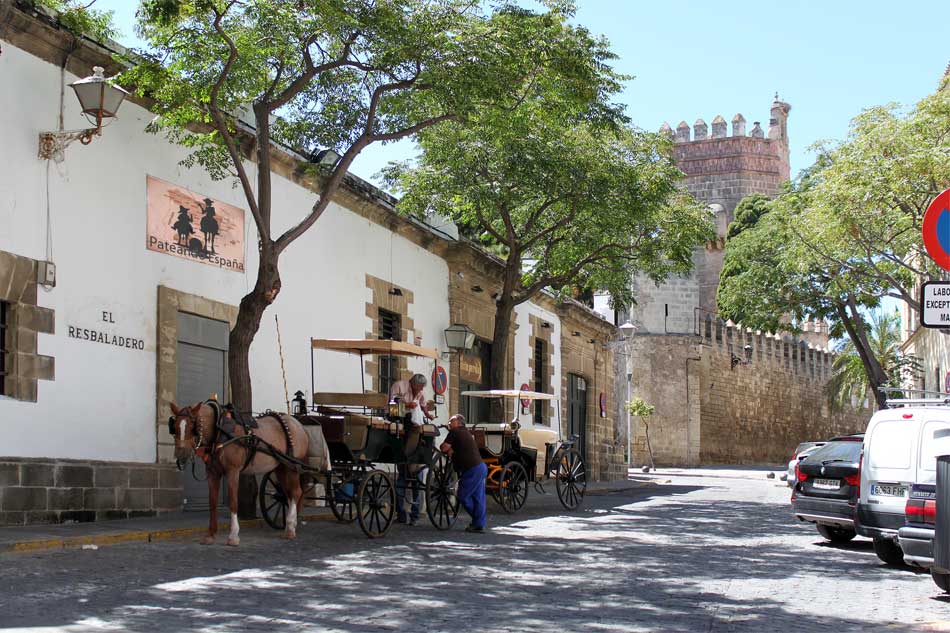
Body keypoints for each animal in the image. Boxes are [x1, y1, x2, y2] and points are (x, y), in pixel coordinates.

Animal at [167, 402, 308, 544]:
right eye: (174, 426)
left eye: (192, 426)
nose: (181, 455)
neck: (219, 430)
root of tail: (297, 424)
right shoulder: (213, 473)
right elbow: (212, 502)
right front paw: (210, 534)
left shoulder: (233, 471)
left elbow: (234, 502)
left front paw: (233, 536)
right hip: (281, 467)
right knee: (288, 494)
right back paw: (290, 525)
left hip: (292, 466)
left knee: (296, 492)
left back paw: (290, 528)